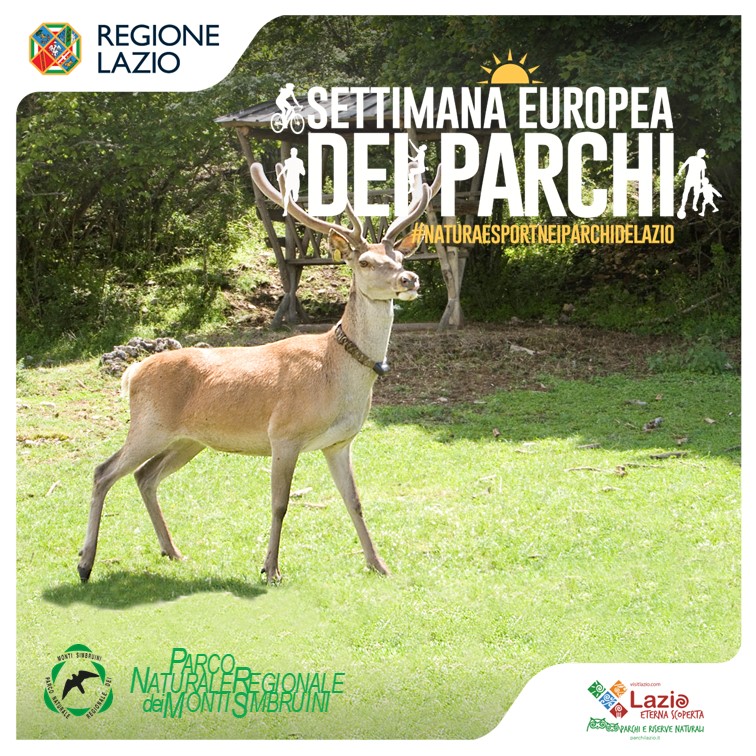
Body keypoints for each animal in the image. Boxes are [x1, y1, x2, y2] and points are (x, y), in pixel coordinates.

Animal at [77, 159, 442, 584]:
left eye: (401, 259)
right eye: (365, 262)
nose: (409, 279)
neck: (336, 374)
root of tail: (132, 372)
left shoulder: (339, 442)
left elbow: (354, 501)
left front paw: (378, 564)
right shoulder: (284, 434)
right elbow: (280, 504)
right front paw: (270, 569)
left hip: (188, 439)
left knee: (145, 476)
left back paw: (172, 551)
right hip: (148, 425)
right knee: (103, 471)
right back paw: (85, 563)